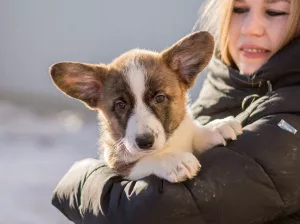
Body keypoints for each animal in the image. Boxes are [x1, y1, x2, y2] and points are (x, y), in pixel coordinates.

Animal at [48, 31, 241, 182]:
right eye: (120, 105)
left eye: (160, 98)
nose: (144, 142)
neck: (167, 145)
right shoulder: (117, 164)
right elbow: (146, 160)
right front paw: (174, 161)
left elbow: (192, 132)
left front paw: (215, 127)